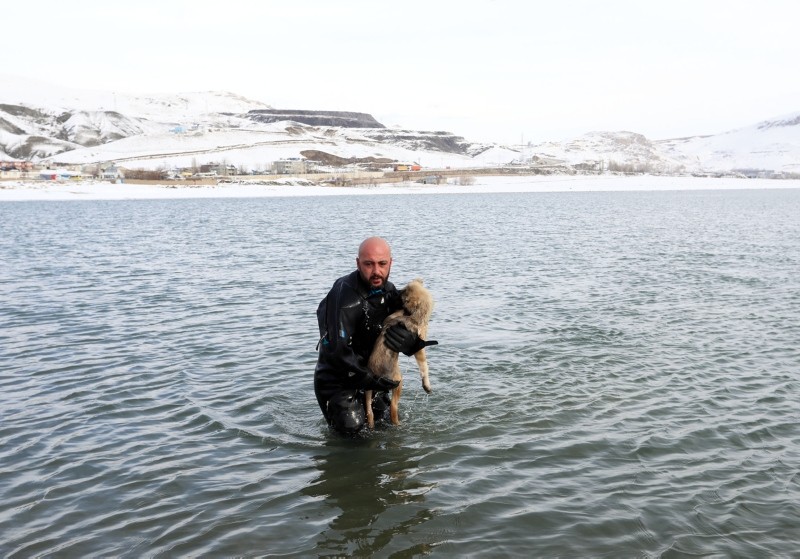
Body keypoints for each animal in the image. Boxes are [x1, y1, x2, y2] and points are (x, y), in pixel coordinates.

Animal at [366, 278, 434, 428]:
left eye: (402, 293)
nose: (393, 293)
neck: (414, 315)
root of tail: (377, 377)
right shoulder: (419, 347)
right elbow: (424, 366)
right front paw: (426, 385)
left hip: (368, 391)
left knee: (369, 412)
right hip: (398, 382)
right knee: (393, 408)